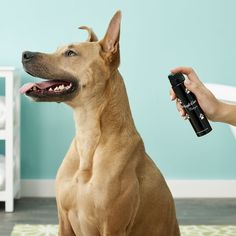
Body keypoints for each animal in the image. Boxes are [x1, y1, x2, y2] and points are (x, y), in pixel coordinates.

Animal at [20, 11, 179, 236]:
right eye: (58, 48)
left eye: (70, 53)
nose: (25, 54)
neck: (89, 138)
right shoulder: (64, 221)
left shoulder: (112, 226)